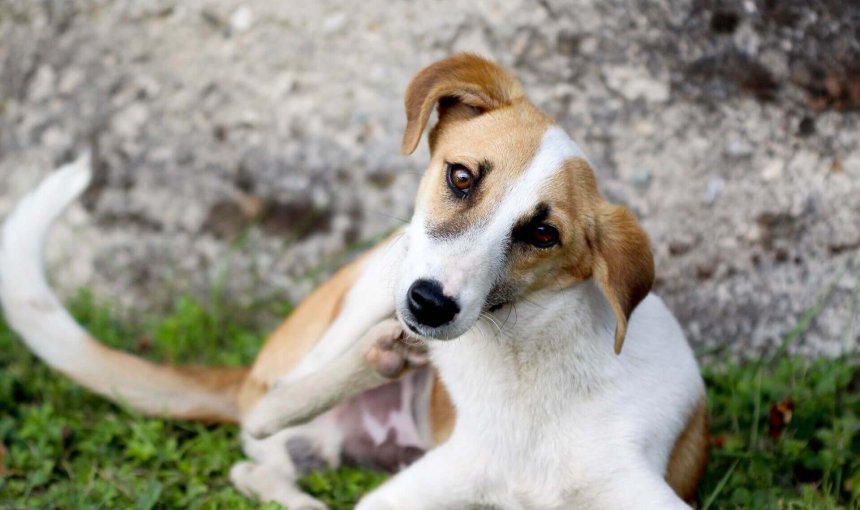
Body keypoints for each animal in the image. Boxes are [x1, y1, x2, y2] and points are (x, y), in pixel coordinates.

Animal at [0, 53, 704, 508]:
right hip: (372, 279)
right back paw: (361, 366)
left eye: (542, 234)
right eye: (461, 176)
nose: (430, 302)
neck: (528, 366)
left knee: (257, 468)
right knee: (266, 412)